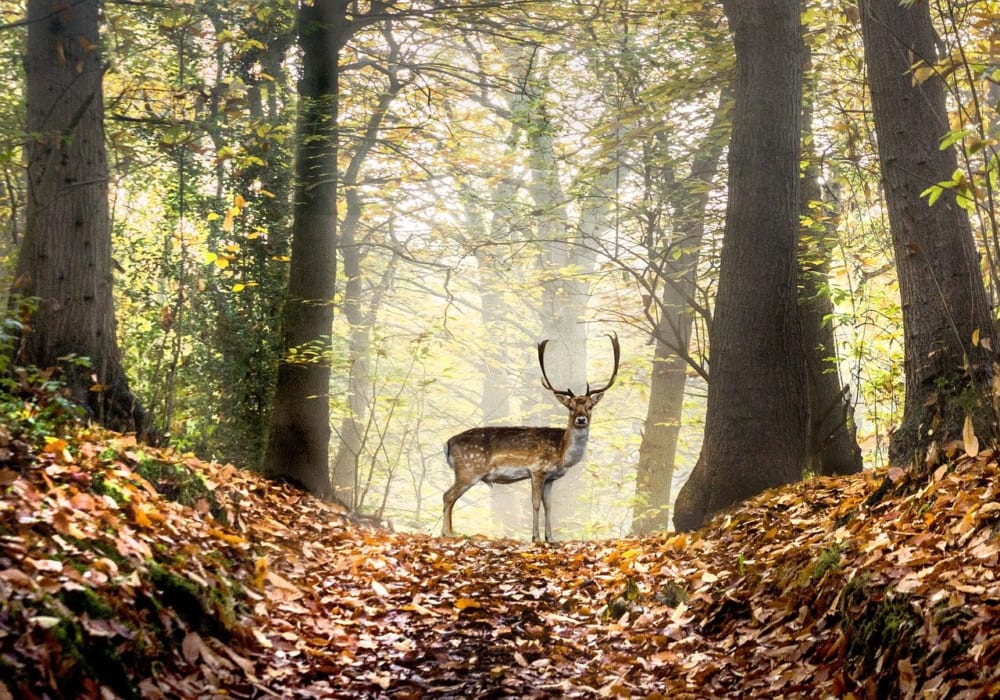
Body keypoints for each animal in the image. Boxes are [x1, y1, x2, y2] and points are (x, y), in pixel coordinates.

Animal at [442, 332, 620, 543]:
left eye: (590, 406)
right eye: (570, 407)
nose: (581, 419)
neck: (561, 453)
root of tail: (447, 444)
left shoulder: (551, 478)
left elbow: (548, 505)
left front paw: (550, 538)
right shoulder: (536, 469)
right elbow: (535, 503)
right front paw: (536, 538)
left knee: (449, 497)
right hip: (469, 469)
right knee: (448, 495)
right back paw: (448, 533)